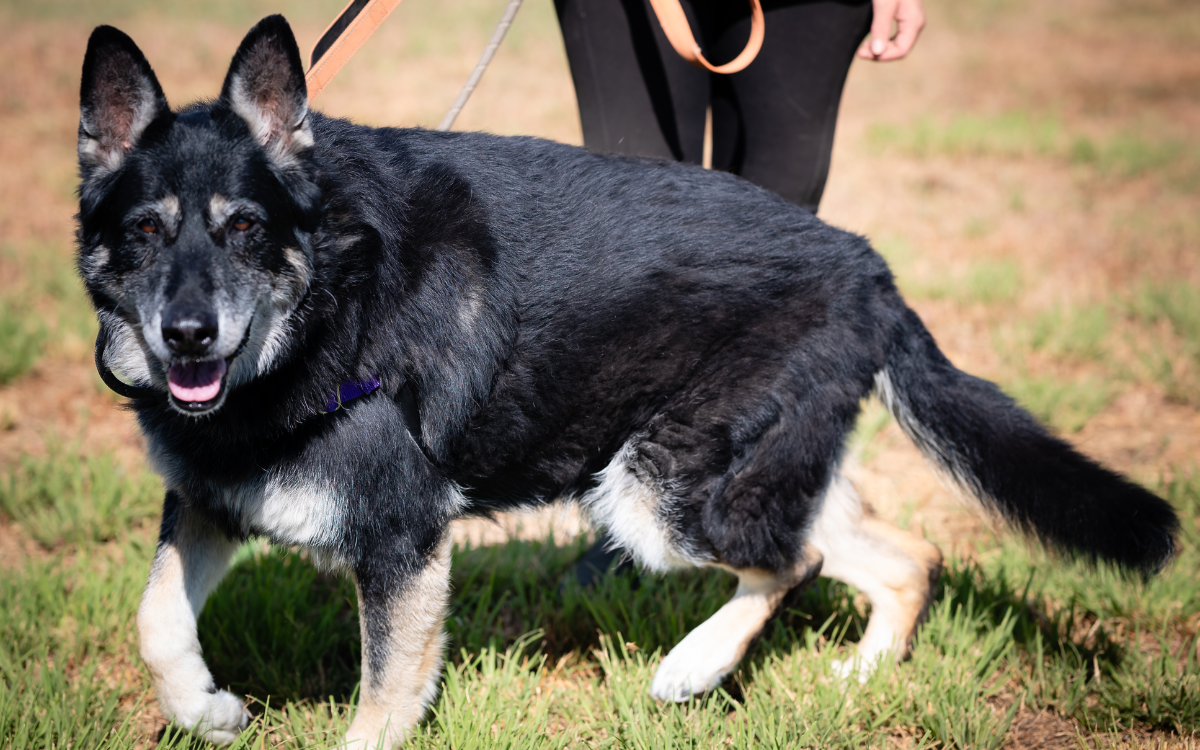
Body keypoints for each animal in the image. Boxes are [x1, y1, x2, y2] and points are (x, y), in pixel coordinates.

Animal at [79, 14, 1176, 744]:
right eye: (145, 232)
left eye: (243, 228)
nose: (186, 337)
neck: (323, 306)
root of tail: (869, 266)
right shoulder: (214, 498)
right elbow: (156, 618)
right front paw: (208, 710)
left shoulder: (401, 544)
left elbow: (383, 700)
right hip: (740, 470)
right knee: (897, 554)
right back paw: (860, 678)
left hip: (658, 489)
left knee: (795, 561)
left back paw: (693, 667)